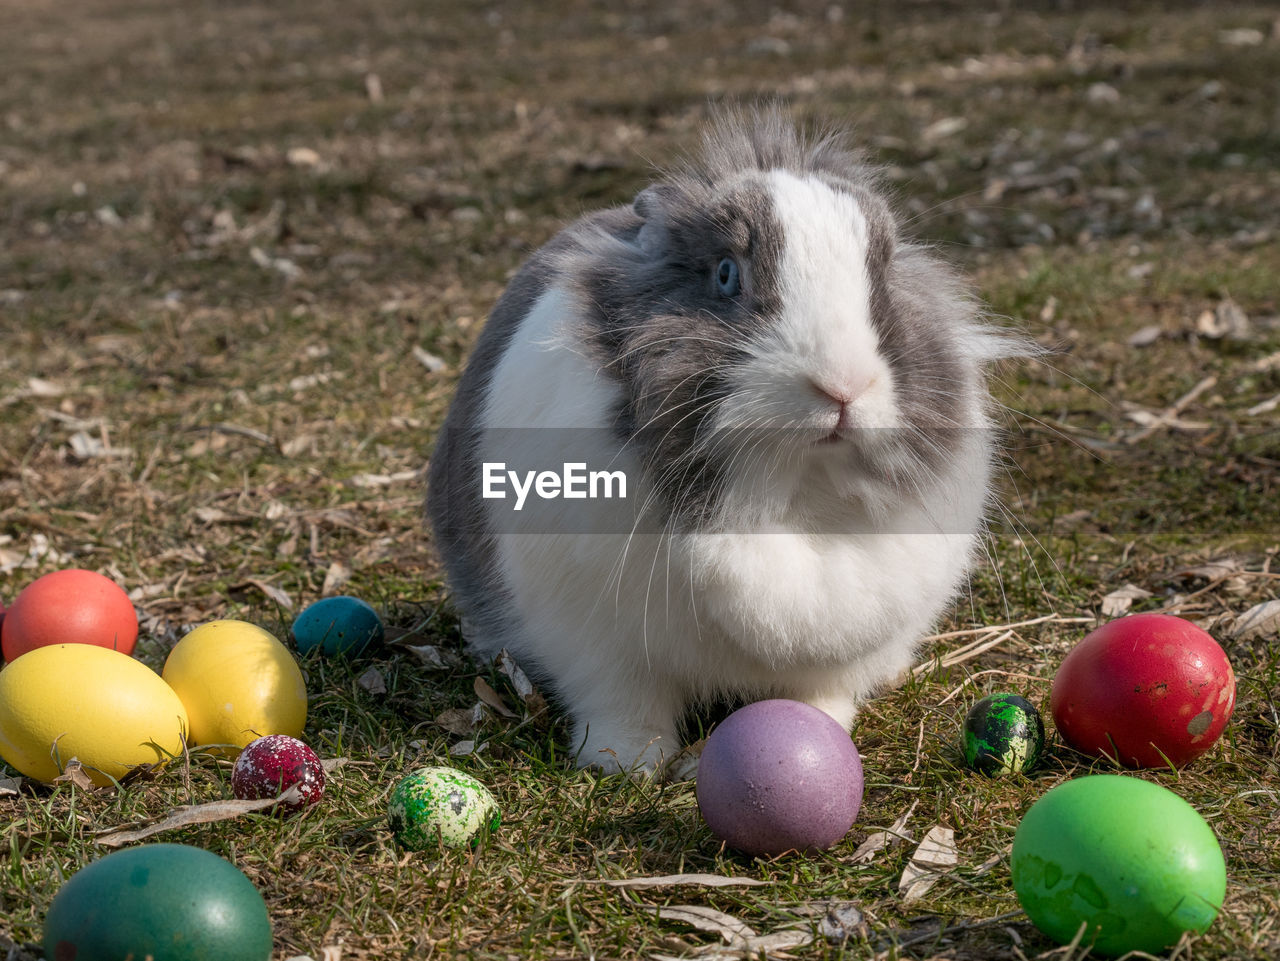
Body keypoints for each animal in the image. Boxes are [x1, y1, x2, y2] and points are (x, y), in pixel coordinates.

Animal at [424, 104, 1024, 772]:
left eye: (883, 276)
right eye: (726, 274)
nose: (843, 385)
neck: (786, 493)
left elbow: (820, 697)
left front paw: (816, 734)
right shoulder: (599, 646)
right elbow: (623, 705)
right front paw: (627, 764)